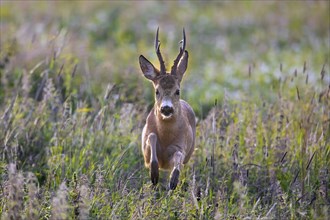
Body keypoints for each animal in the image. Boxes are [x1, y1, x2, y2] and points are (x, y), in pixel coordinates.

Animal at [139, 27, 196, 189]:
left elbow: (178, 157)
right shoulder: (145, 153)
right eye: (157, 91)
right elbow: (151, 137)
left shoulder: (181, 146)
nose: (166, 108)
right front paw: (154, 174)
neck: (165, 135)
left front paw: (173, 180)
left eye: (177, 91)